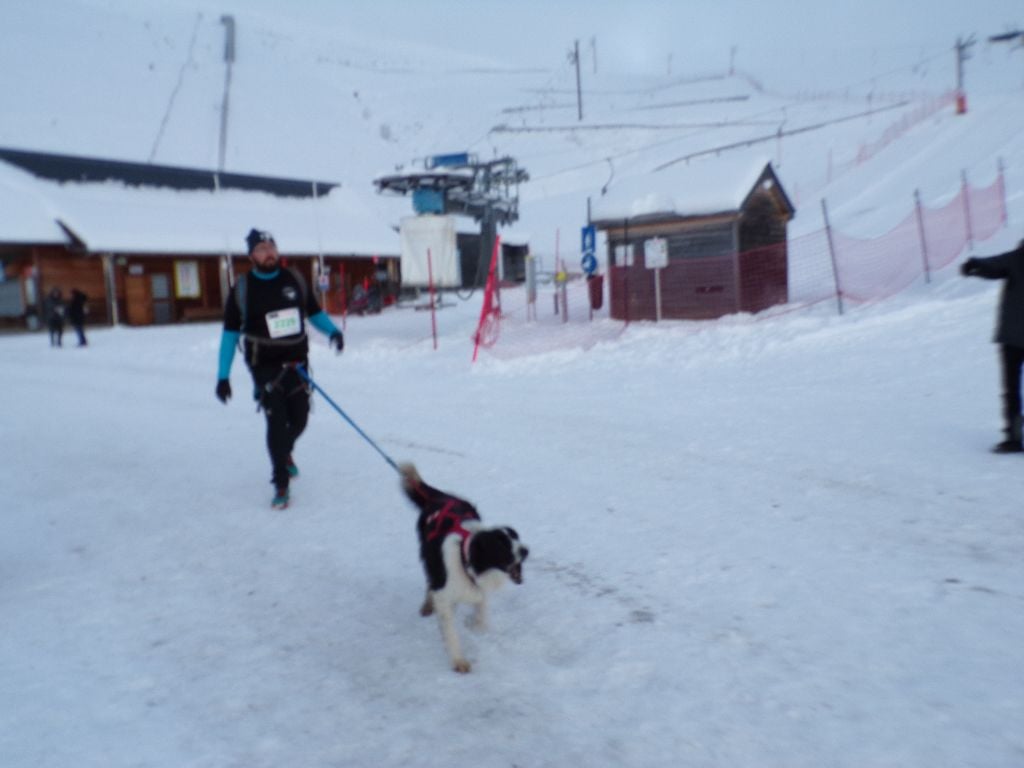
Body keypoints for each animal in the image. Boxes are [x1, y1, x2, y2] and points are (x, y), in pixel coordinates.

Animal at [397, 462, 532, 671]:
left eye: (516, 537)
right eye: (502, 544)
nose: (526, 550)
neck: (465, 560)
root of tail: (442, 496)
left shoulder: (478, 589)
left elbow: (481, 617)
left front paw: (472, 623)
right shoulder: (444, 595)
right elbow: (451, 631)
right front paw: (458, 660)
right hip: (428, 558)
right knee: (430, 580)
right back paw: (428, 604)